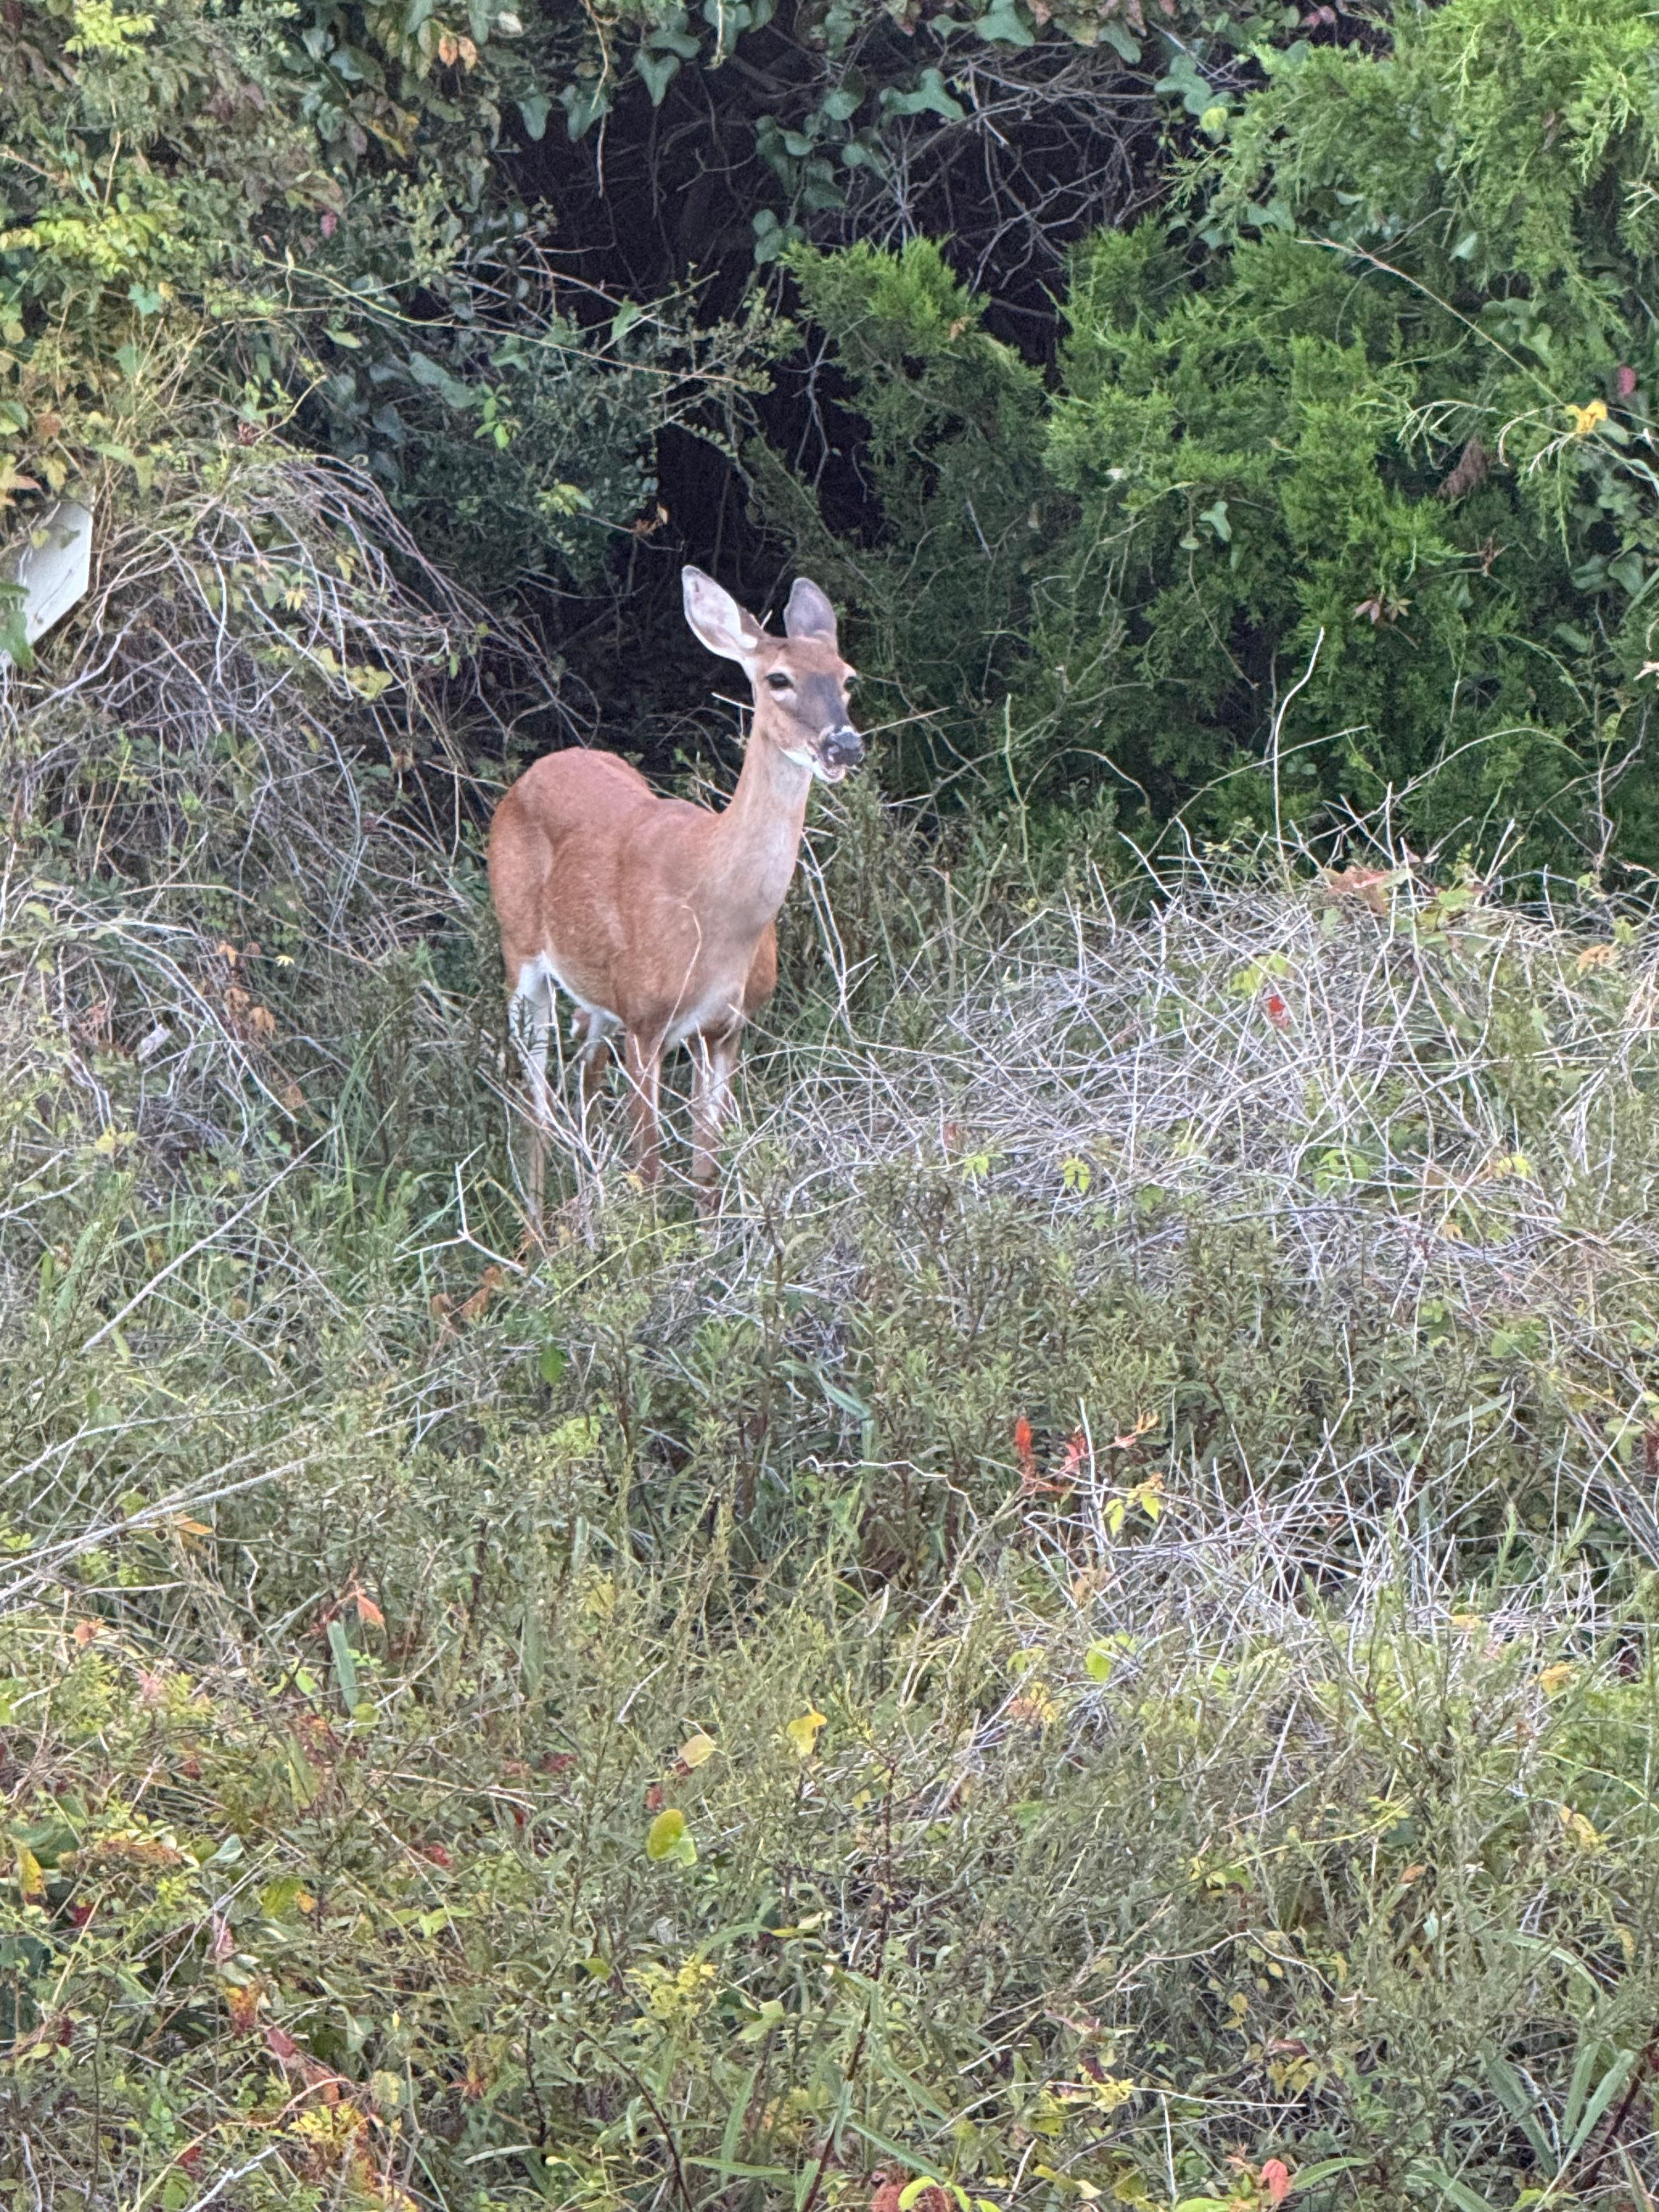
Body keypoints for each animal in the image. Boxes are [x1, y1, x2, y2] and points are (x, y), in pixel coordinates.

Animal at [487, 566, 864, 1220]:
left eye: (847, 678)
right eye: (779, 679)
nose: (844, 746)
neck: (715, 912)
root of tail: (531, 773)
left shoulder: (728, 1026)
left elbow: (706, 1171)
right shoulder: (647, 1019)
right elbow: (653, 1168)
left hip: (599, 992)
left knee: (585, 1073)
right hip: (520, 948)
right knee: (535, 1091)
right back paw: (534, 1227)